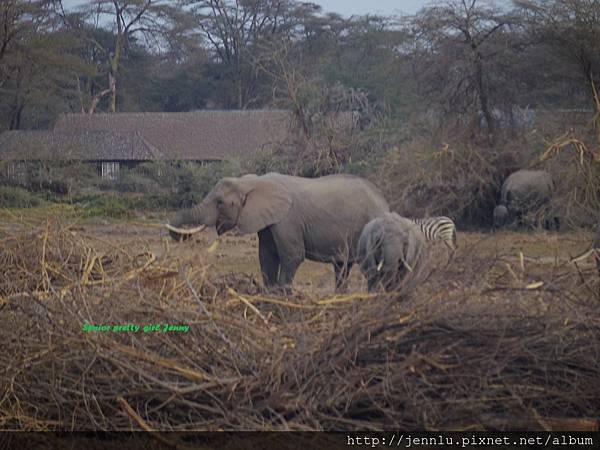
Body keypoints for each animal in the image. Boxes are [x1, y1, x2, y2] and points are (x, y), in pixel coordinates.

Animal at [164, 172, 392, 292]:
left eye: (220, 203)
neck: (253, 181)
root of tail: (384, 202)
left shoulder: (287, 221)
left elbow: (292, 256)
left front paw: (282, 295)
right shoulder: (266, 223)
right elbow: (267, 256)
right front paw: (270, 294)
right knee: (342, 268)